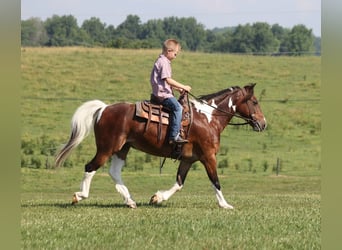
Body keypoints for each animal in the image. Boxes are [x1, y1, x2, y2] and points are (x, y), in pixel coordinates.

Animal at [54, 83, 268, 208]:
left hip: (122, 149)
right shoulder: (208, 156)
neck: (208, 118)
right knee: (90, 167)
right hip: (107, 148)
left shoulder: (188, 160)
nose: (263, 123)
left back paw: (130, 201)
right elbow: (215, 180)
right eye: (254, 101)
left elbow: (179, 183)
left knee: (114, 172)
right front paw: (225, 205)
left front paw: (157, 198)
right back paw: (79, 196)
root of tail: (104, 109)